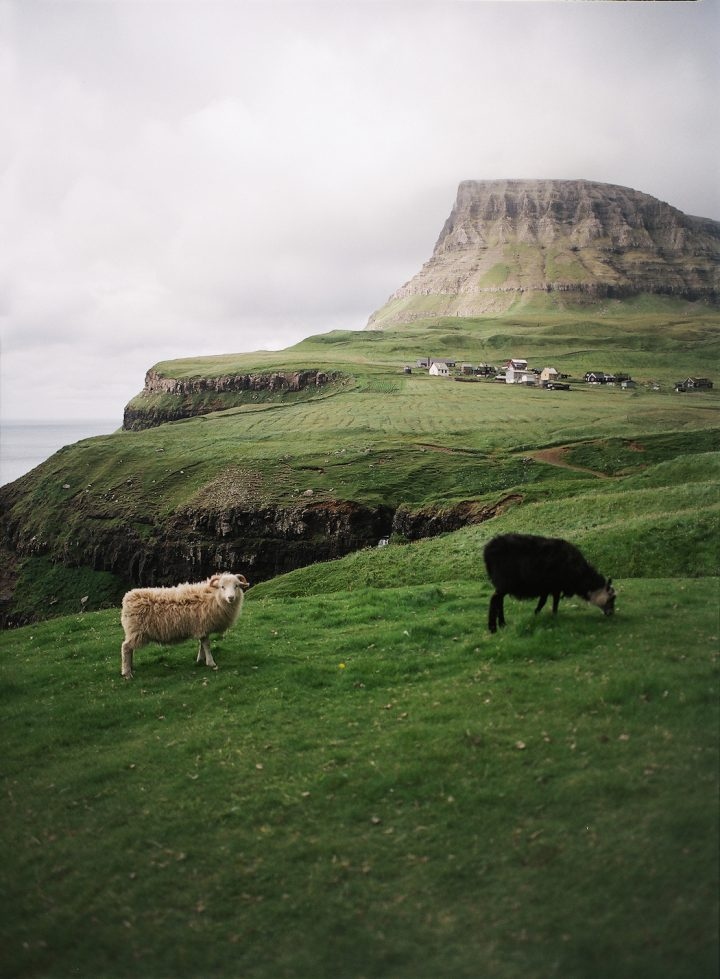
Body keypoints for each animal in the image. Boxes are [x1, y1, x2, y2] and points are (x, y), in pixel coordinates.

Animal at [119, 576, 249, 680]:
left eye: (236, 586)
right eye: (222, 587)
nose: (231, 597)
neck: (213, 597)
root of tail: (128, 597)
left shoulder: (201, 627)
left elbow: (202, 644)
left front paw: (200, 659)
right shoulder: (202, 625)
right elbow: (206, 644)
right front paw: (211, 662)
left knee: (129, 649)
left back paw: (131, 667)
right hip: (136, 632)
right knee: (126, 648)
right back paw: (127, 673)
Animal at [484, 536, 612, 636]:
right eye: (612, 598)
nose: (611, 614)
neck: (581, 575)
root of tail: (487, 550)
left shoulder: (548, 588)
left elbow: (543, 602)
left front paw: (536, 614)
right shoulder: (555, 586)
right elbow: (554, 602)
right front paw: (554, 616)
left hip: (503, 585)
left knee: (499, 601)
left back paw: (502, 624)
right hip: (504, 582)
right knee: (494, 600)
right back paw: (492, 628)